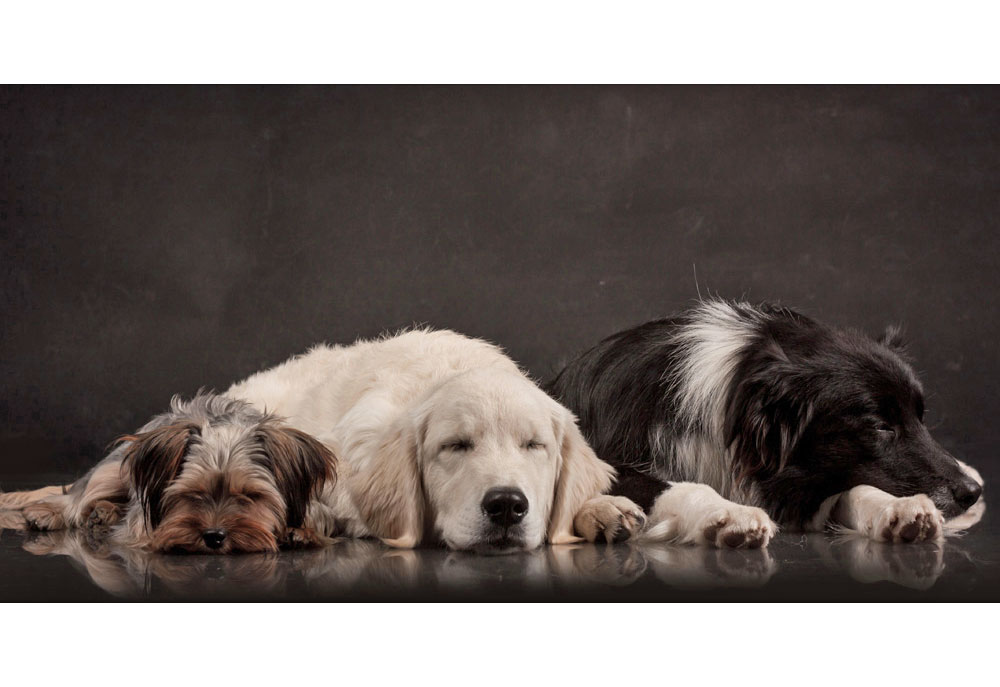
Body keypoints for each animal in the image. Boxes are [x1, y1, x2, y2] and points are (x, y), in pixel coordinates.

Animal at [548, 300, 984, 548]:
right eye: (880, 426)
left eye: (920, 418)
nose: (972, 492)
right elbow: (674, 485)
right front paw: (726, 513)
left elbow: (855, 487)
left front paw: (897, 508)